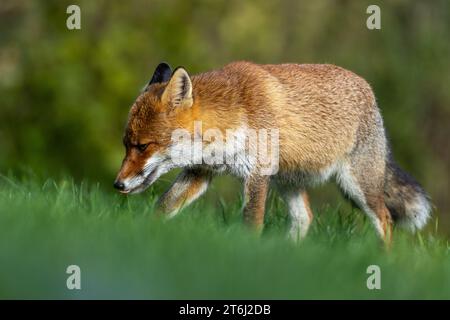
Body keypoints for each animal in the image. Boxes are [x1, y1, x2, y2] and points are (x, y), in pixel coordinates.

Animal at [114, 61, 430, 242]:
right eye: (126, 144)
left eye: (143, 146)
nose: (118, 184)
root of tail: (369, 90)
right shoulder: (200, 171)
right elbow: (163, 206)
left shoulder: (256, 174)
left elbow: (251, 222)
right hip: (287, 181)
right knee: (305, 218)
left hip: (358, 186)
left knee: (385, 220)